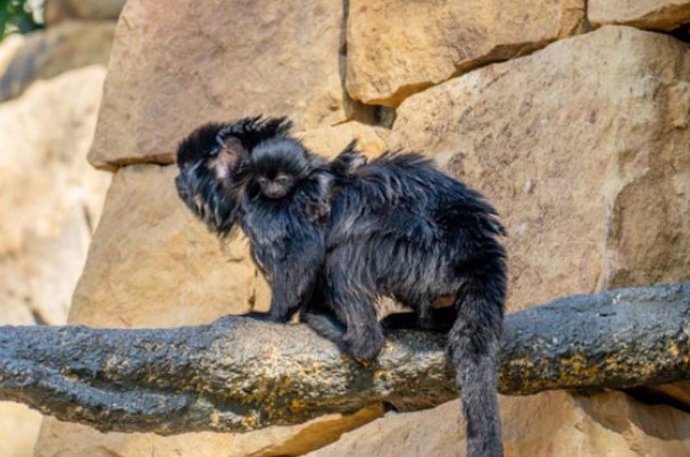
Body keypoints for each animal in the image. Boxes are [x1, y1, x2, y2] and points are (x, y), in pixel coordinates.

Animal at [175, 117, 502, 456]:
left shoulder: (265, 208)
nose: (178, 180)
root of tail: (477, 249)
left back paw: (351, 338)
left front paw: (270, 317)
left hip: (421, 253)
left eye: (187, 167)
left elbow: (304, 252)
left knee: (343, 262)